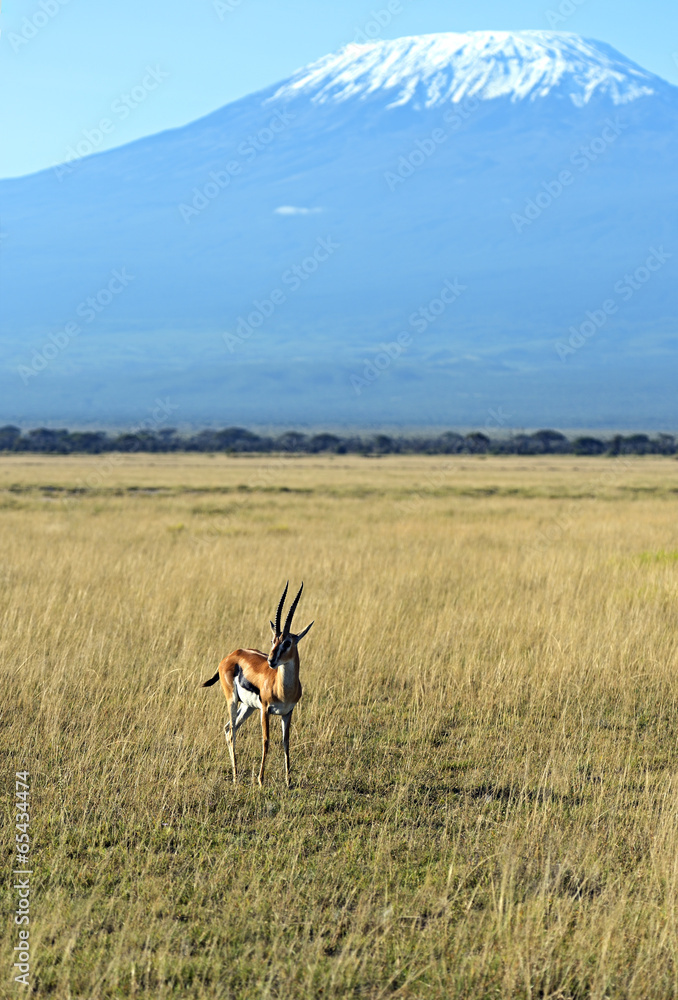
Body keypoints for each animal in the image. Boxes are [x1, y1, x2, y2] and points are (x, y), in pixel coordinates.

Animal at [202, 583, 313, 787]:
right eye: (272, 640)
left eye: (287, 642)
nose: (271, 660)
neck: (283, 688)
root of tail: (230, 655)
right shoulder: (265, 709)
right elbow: (266, 741)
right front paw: (261, 780)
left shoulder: (287, 712)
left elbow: (286, 742)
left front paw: (288, 781)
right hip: (233, 701)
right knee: (231, 732)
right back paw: (235, 776)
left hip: (248, 707)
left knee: (229, 728)